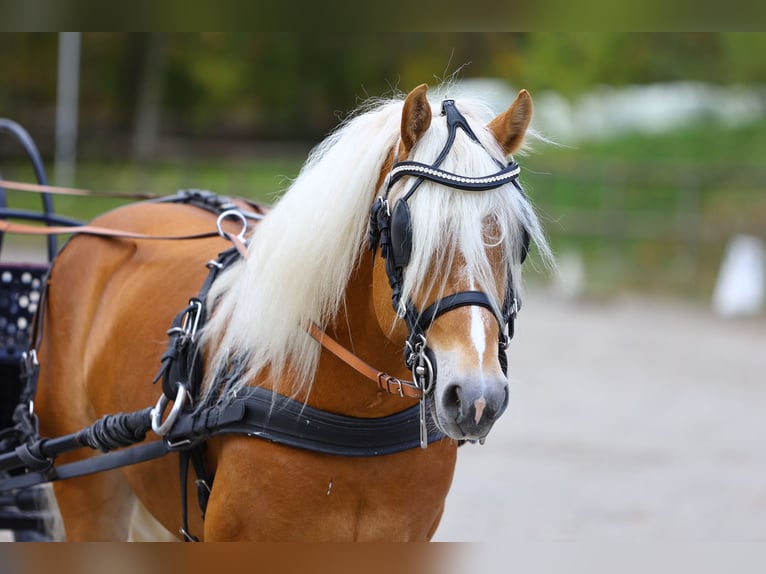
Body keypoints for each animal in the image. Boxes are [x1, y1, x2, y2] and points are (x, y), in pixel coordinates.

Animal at [31, 83, 552, 544]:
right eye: (406, 234)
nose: (477, 397)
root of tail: (98, 227)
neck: (357, 420)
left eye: (518, 239)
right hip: (88, 487)